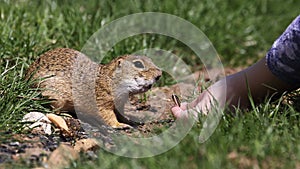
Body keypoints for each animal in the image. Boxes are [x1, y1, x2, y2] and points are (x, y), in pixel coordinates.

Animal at [26, 48, 162, 129]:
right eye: (138, 64)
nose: (159, 74)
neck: (110, 79)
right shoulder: (102, 102)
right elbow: (109, 117)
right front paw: (120, 125)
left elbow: (121, 114)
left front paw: (130, 121)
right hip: (55, 97)